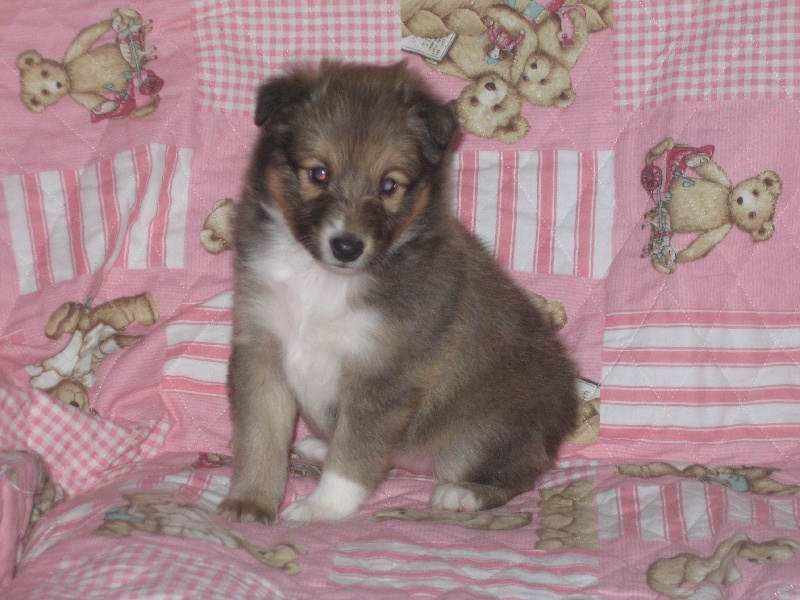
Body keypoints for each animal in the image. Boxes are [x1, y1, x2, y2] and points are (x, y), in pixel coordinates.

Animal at [220, 61, 579, 524]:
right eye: (319, 173)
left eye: (389, 185)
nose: (347, 247)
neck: (321, 279)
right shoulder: (261, 347)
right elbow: (260, 436)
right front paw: (250, 502)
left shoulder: (383, 374)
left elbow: (353, 456)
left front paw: (322, 507)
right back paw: (318, 445)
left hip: (481, 434)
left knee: (522, 473)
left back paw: (464, 494)